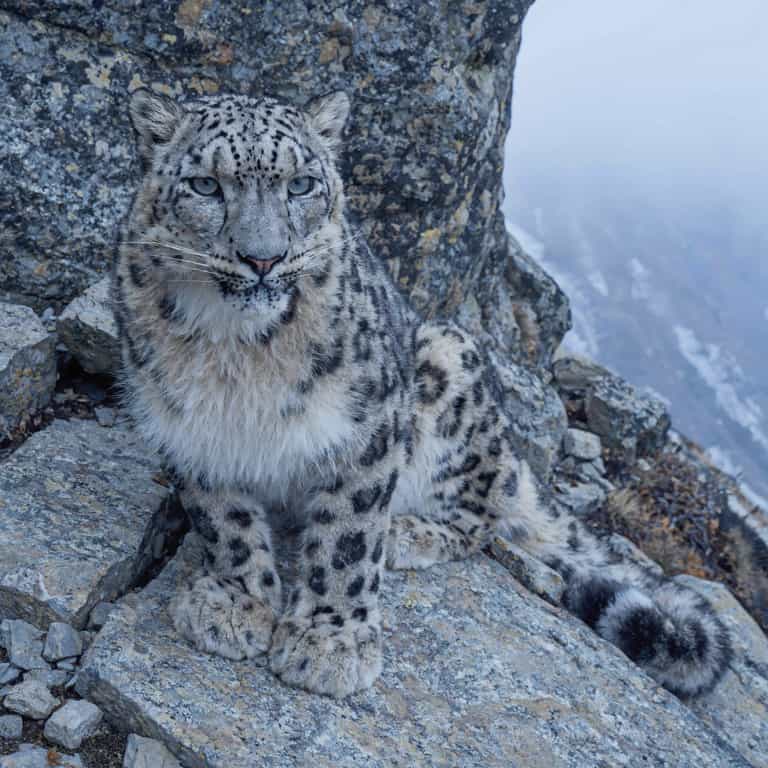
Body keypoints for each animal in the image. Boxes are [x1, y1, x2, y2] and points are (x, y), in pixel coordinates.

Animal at [113, 87, 732, 699]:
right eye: (205, 186)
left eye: (302, 184)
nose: (263, 257)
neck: (235, 354)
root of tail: (509, 453)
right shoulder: (188, 426)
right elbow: (225, 522)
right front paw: (236, 603)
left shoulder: (366, 425)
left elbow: (348, 537)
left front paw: (331, 641)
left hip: (450, 363)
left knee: (480, 516)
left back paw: (407, 533)